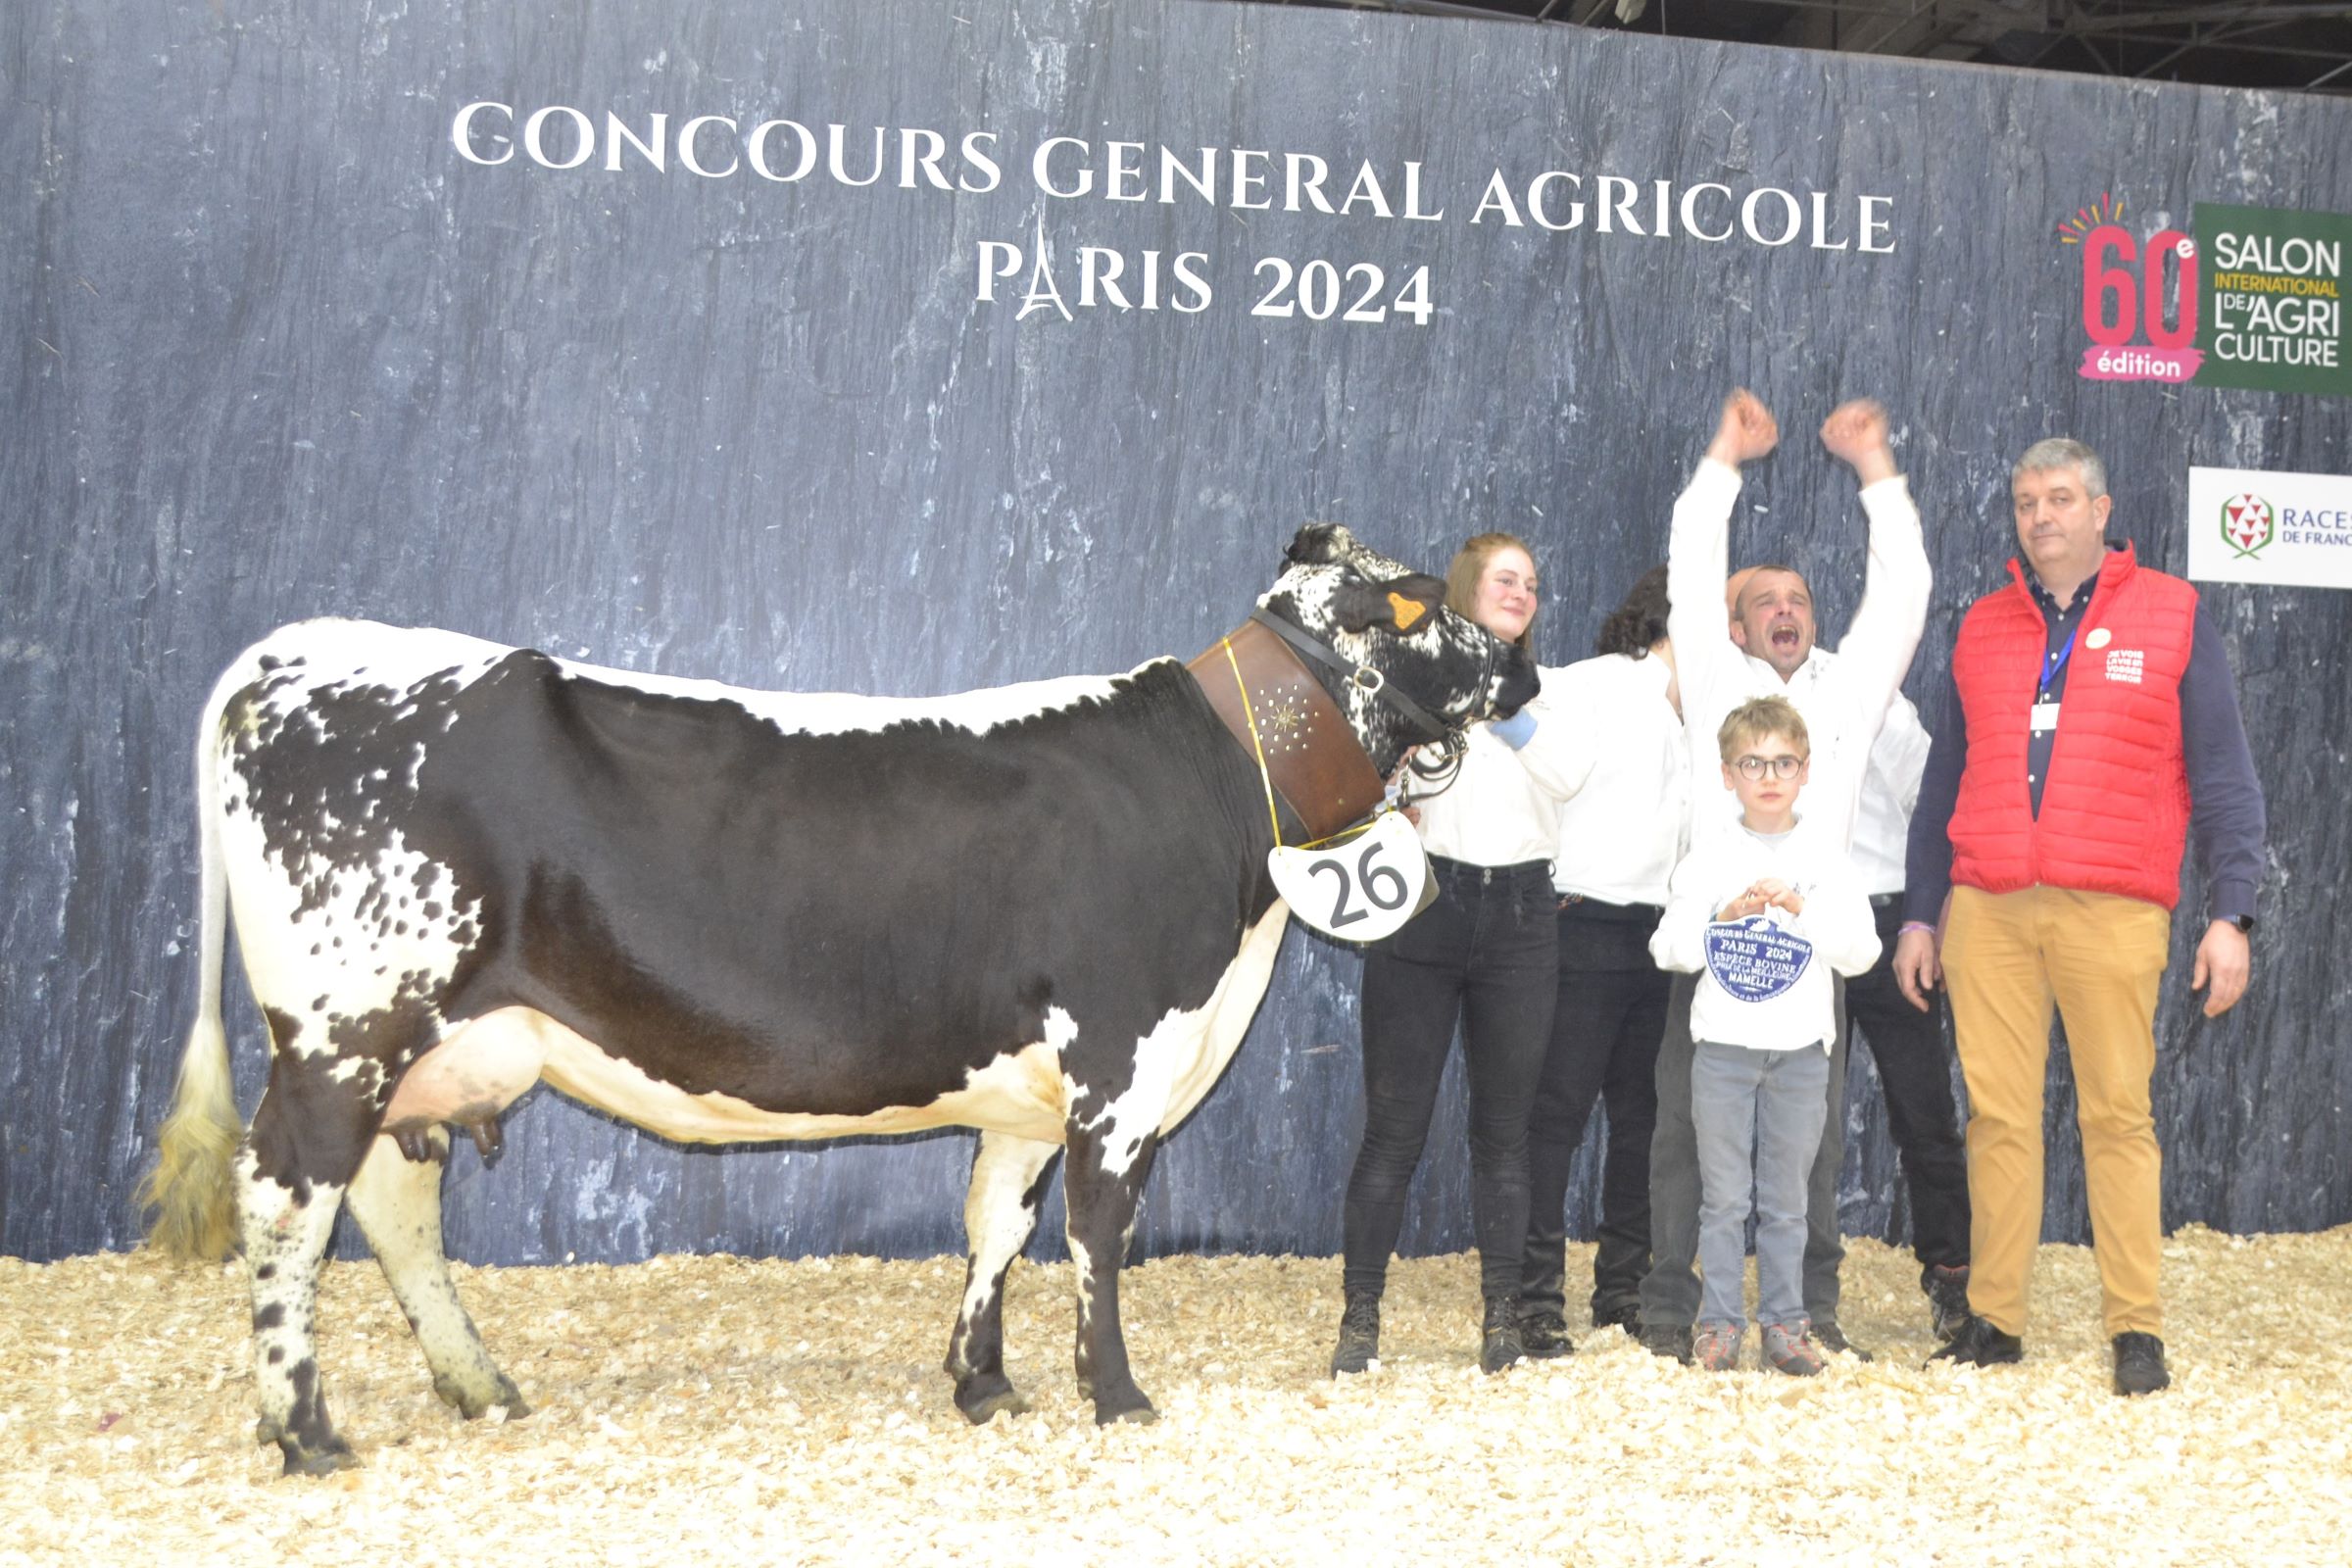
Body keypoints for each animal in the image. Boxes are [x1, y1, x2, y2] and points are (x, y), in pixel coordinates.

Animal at [151, 523, 1543, 1476]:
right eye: (1424, 604)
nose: (1526, 657)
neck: (1219, 793)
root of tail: (295, 652)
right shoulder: (1123, 1062)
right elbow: (1096, 1234)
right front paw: (1117, 1395)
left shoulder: (1029, 1092)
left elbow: (995, 1224)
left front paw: (983, 1383)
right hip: (346, 1028)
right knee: (287, 1197)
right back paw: (304, 1426)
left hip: (423, 1045)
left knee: (389, 1202)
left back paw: (477, 1384)